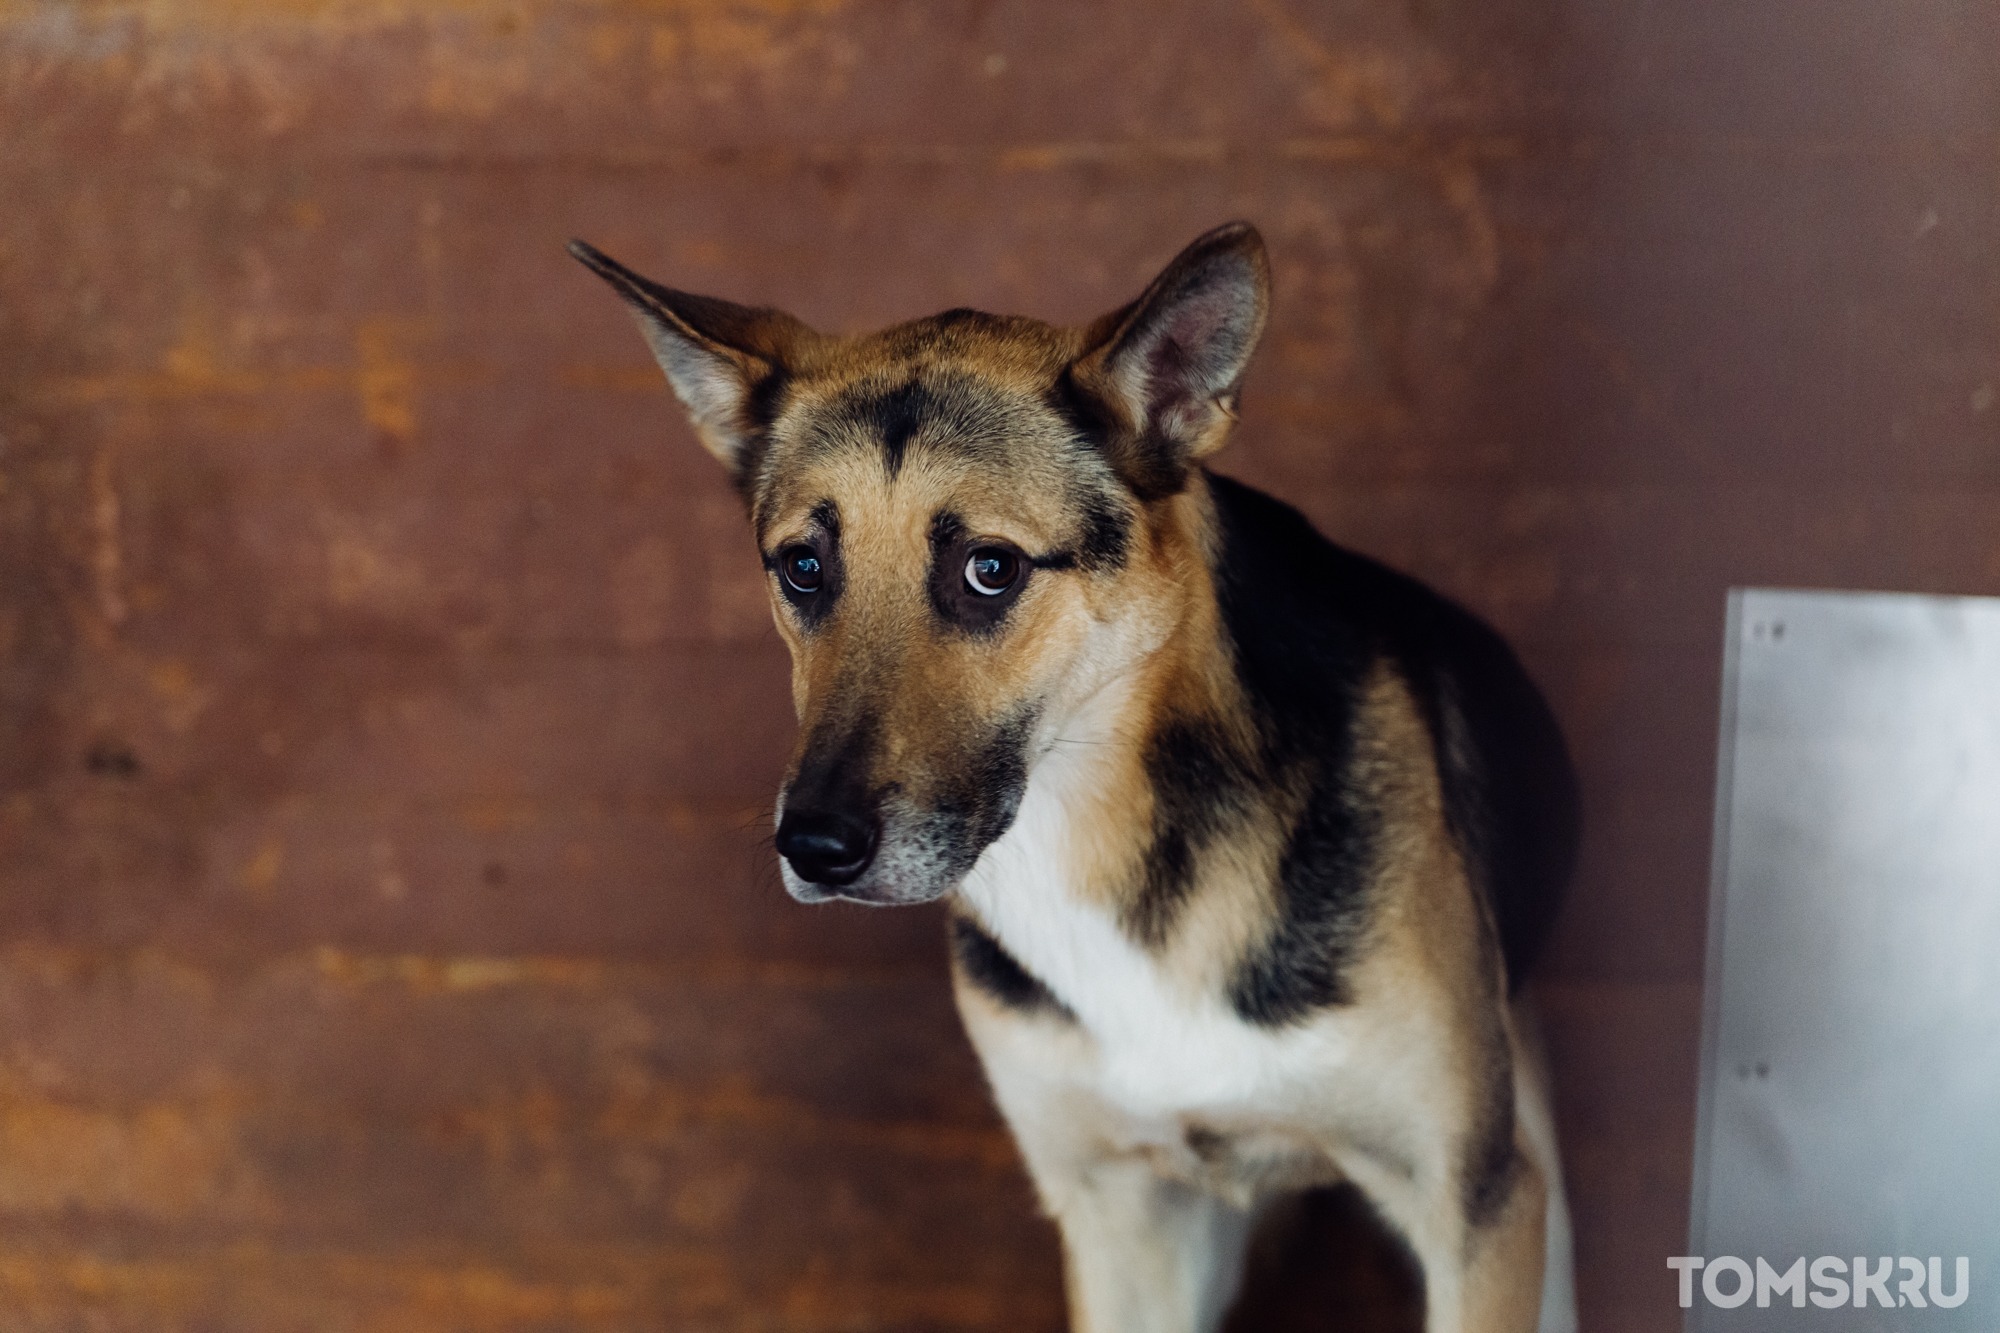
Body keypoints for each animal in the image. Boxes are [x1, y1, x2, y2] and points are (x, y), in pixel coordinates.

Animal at [572, 223, 1584, 1320]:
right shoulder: (1118, 1219)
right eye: (803, 568)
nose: (814, 847)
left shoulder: (1473, 1208)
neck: (1092, 827)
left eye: (989, 569)